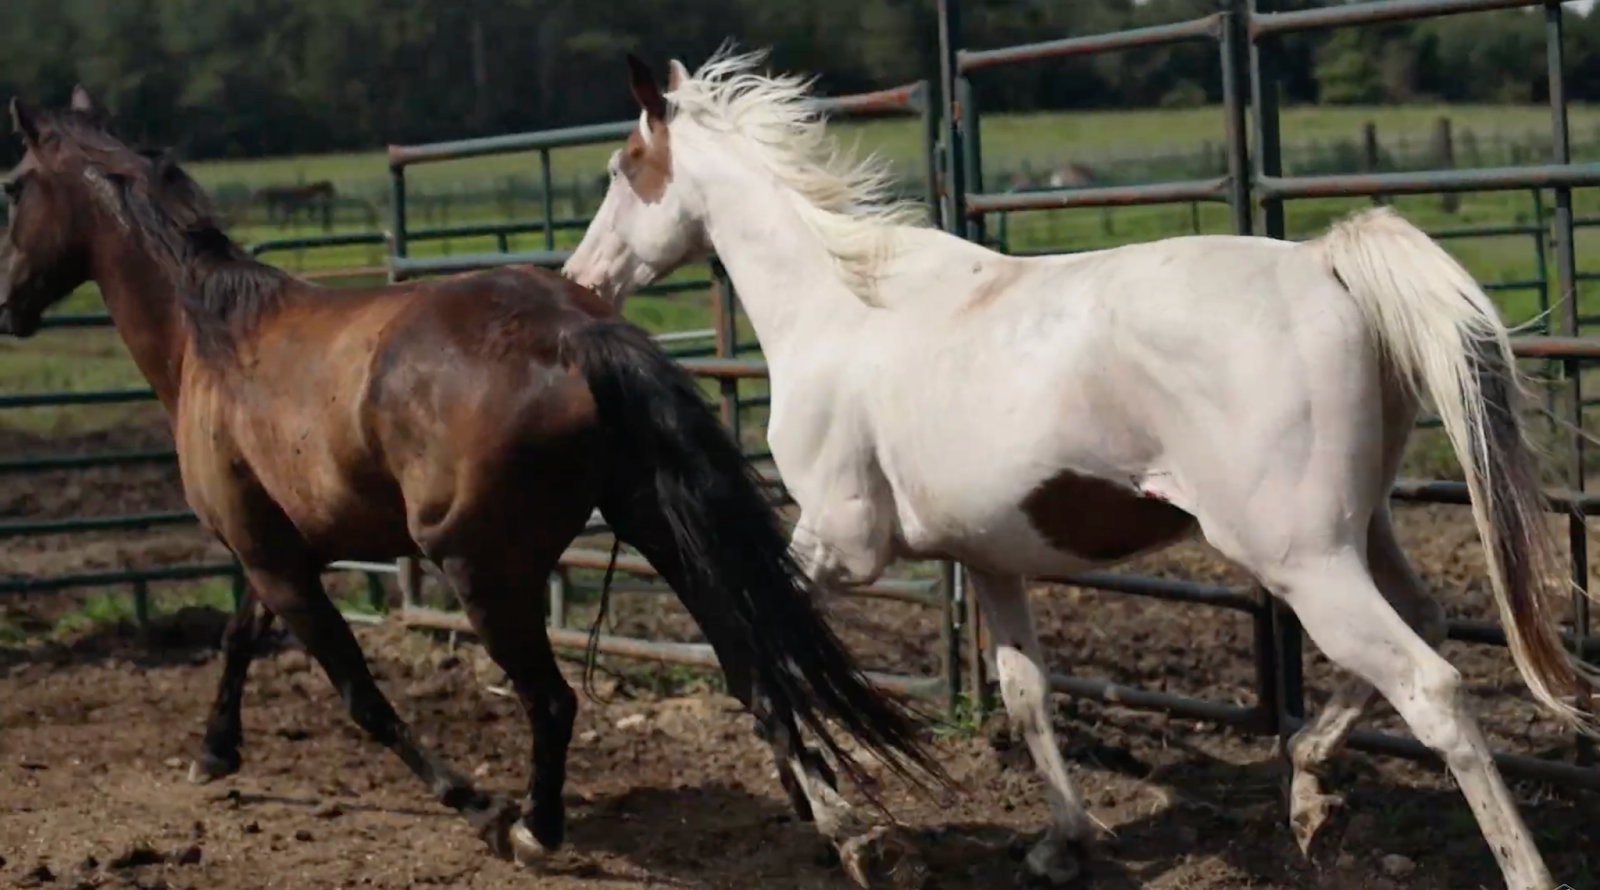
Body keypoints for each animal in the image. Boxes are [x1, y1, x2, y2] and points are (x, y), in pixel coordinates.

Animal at [0, 86, 952, 881]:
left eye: (11, 187)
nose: (7, 305)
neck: (215, 335)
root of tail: (576, 334)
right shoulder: (276, 546)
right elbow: (238, 639)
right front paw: (213, 753)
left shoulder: (272, 557)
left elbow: (361, 697)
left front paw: (476, 806)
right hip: (659, 528)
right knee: (754, 665)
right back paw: (842, 830)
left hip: (480, 569)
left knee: (555, 700)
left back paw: (536, 828)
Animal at [562, 48, 1599, 890]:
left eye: (623, 167)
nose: (581, 280)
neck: (841, 306)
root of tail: (1326, 266)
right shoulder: (988, 558)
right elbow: (1027, 694)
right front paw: (1063, 842)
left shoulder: (842, 545)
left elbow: (762, 658)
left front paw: (856, 837)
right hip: (1360, 533)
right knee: (1425, 628)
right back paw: (1308, 794)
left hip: (1303, 563)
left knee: (1433, 688)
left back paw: (1511, 864)